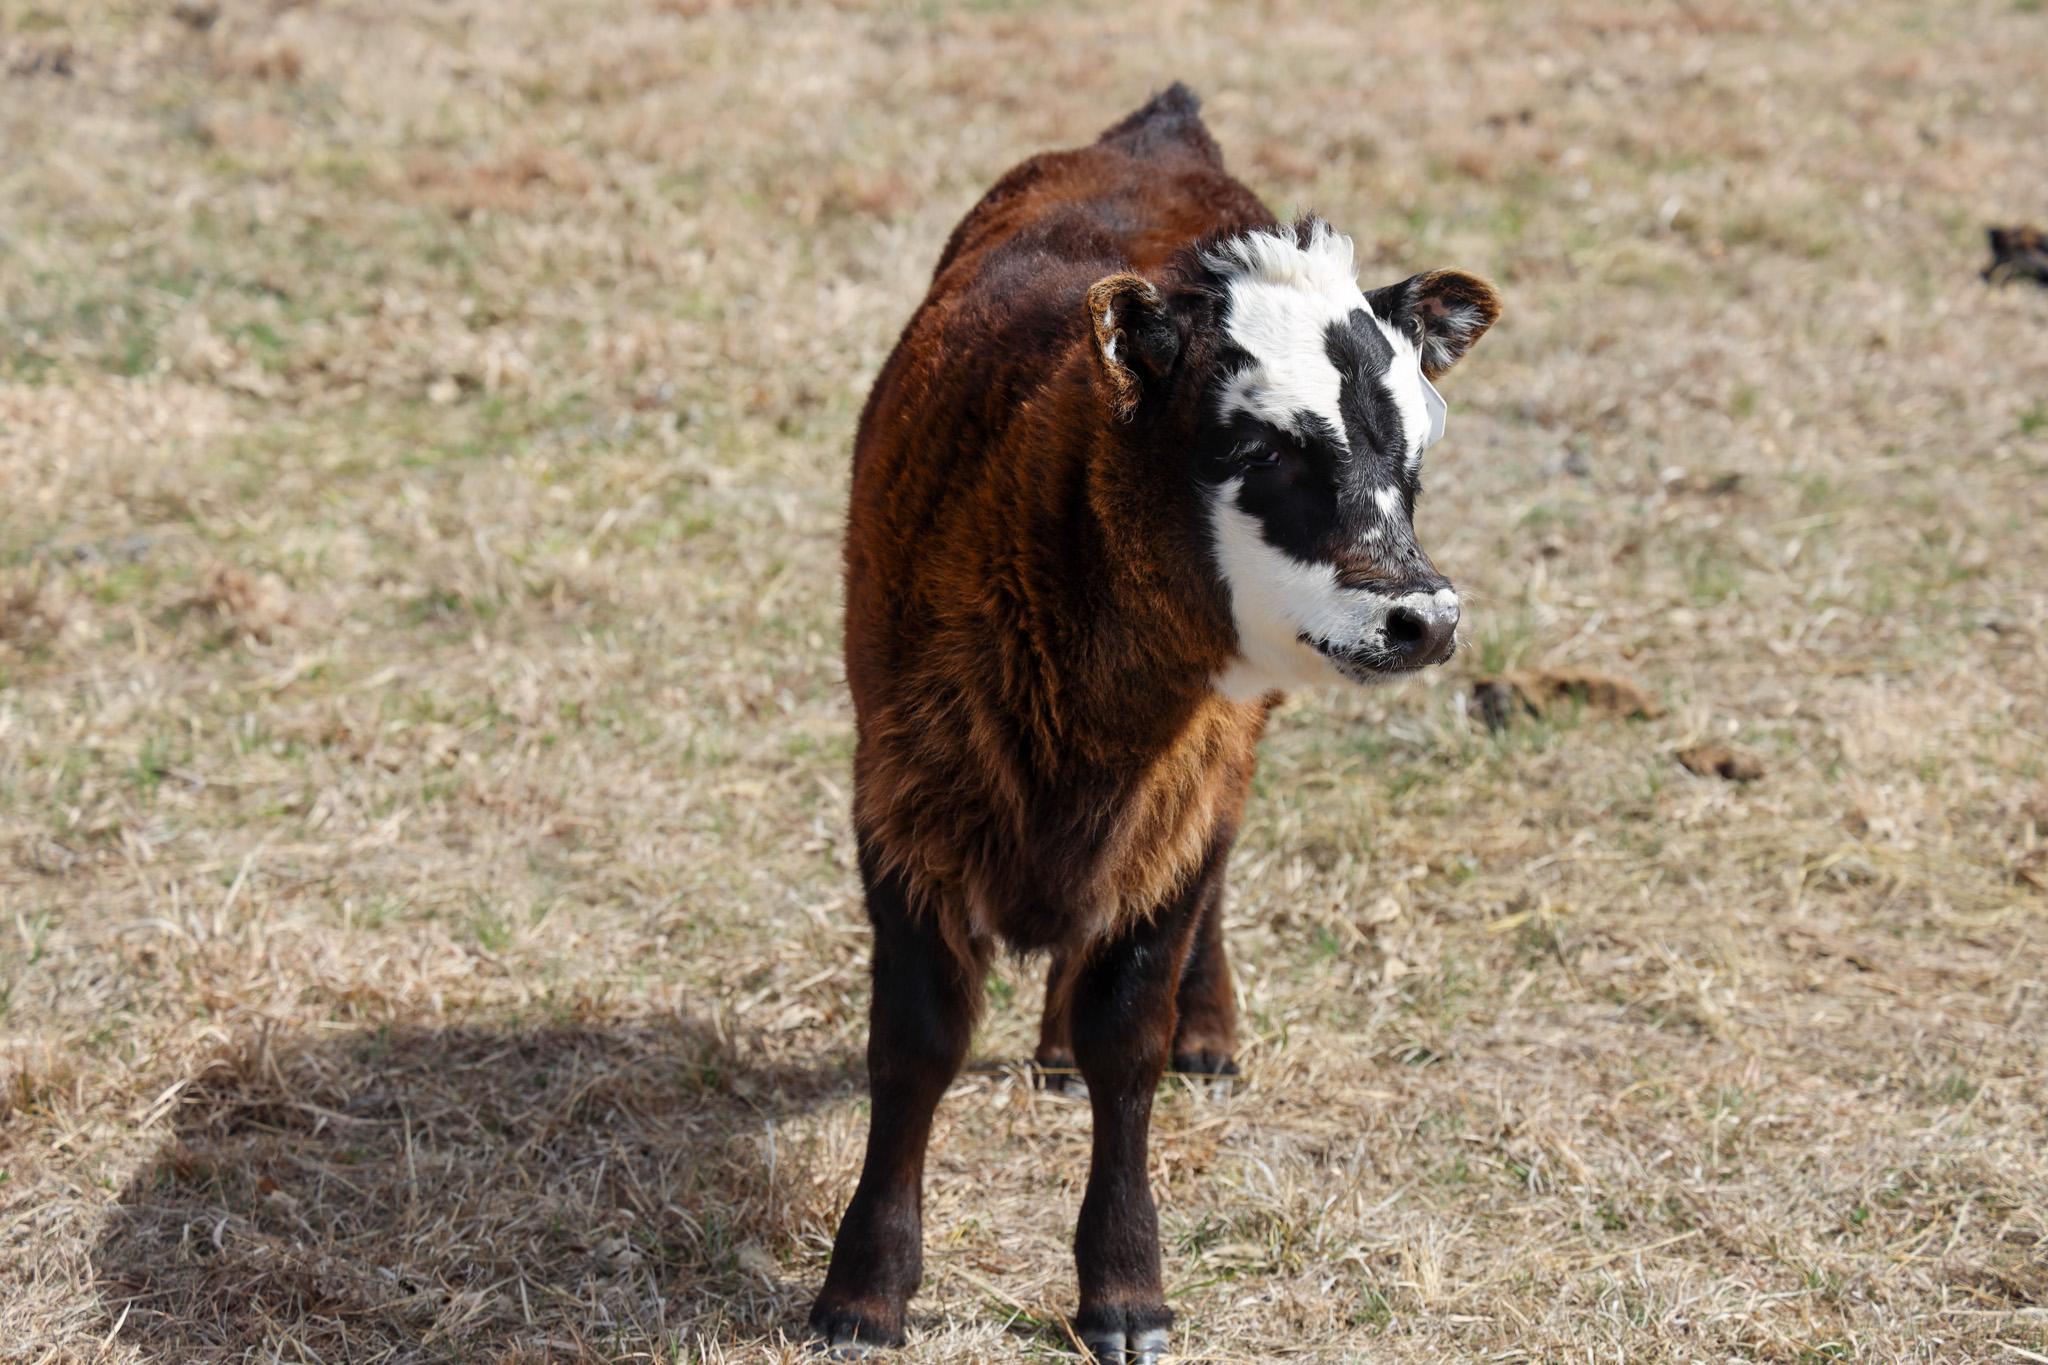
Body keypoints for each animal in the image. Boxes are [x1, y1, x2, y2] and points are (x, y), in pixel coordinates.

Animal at [811, 82, 1507, 1358]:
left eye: (1416, 457)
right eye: (1258, 445)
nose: (1422, 616)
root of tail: (1161, 127)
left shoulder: (1183, 797)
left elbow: (1126, 1036)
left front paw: (1123, 1286)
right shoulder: (899, 793)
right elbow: (917, 1038)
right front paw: (865, 1290)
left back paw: (1205, 1027)